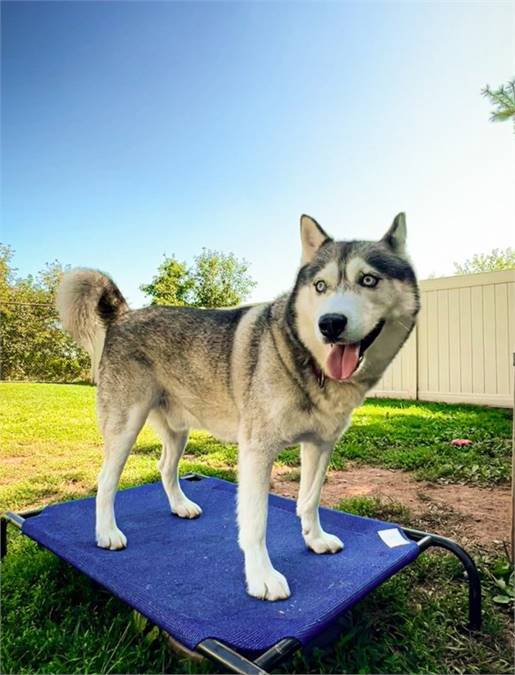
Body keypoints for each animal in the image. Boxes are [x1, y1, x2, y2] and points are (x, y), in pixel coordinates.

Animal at [56, 213, 420, 604]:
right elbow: (256, 522)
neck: (302, 359)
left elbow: (309, 500)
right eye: (320, 286)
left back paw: (180, 506)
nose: (330, 324)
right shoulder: (257, 452)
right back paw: (106, 533)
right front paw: (262, 577)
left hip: (178, 430)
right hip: (126, 426)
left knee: (165, 467)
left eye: (368, 280)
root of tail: (124, 316)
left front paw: (316, 539)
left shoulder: (320, 446)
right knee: (106, 481)